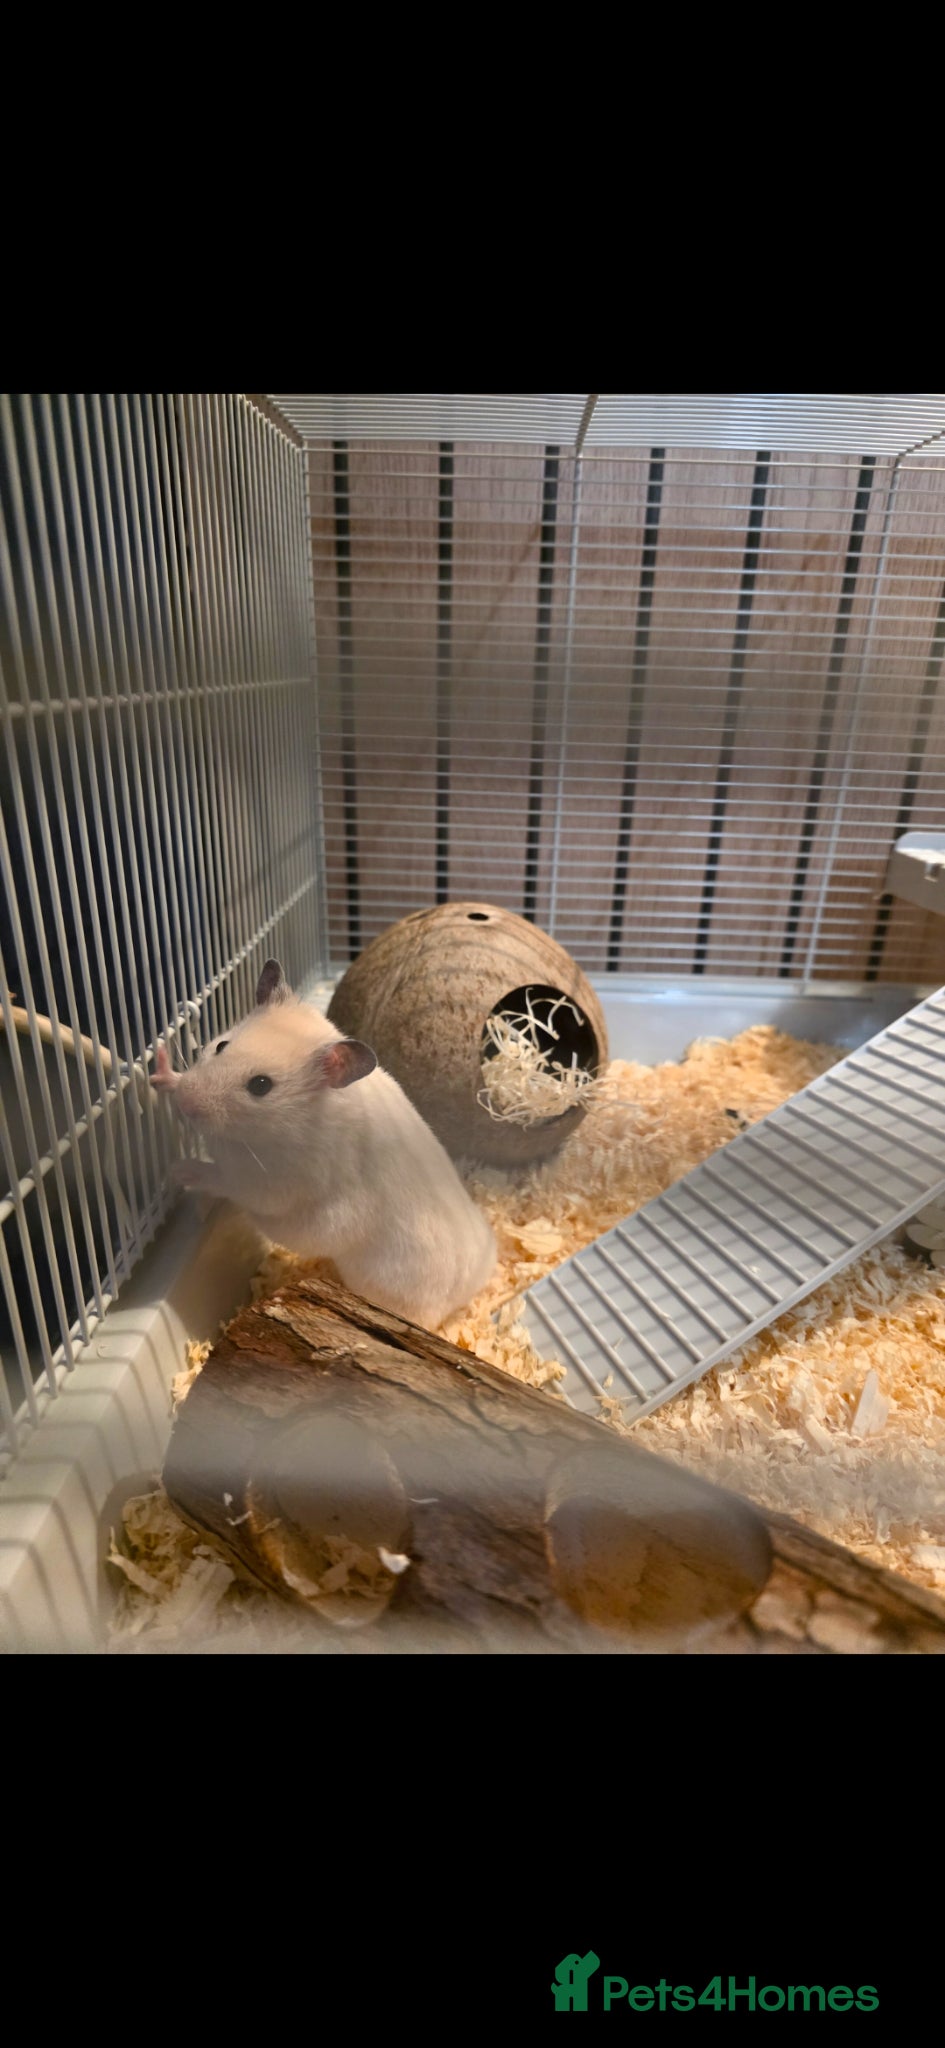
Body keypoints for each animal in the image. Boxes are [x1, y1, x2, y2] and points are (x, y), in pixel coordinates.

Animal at [150, 959, 497, 1330]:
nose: (186, 1105)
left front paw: (177, 1171)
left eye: (261, 1085)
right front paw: (161, 1071)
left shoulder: (266, 1185)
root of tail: (470, 1291)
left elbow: (221, 1178)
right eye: (220, 1045)